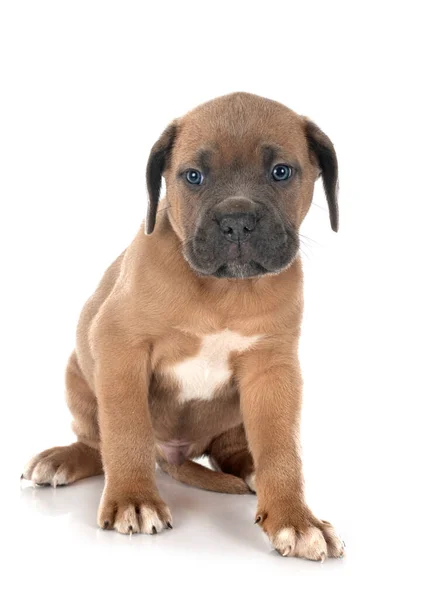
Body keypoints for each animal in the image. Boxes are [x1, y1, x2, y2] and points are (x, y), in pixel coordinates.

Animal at [21, 91, 342, 560]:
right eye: (193, 176)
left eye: (281, 172)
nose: (237, 221)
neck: (224, 291)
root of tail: (172, 454)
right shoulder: (120, 347)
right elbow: (127, 430)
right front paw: (134, 499)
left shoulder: (273, 369)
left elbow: (282, 451)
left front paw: (296, 520)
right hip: (77, 378)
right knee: (97, 443)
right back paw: (63, 459)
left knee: (237, 451)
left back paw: (249, 471)